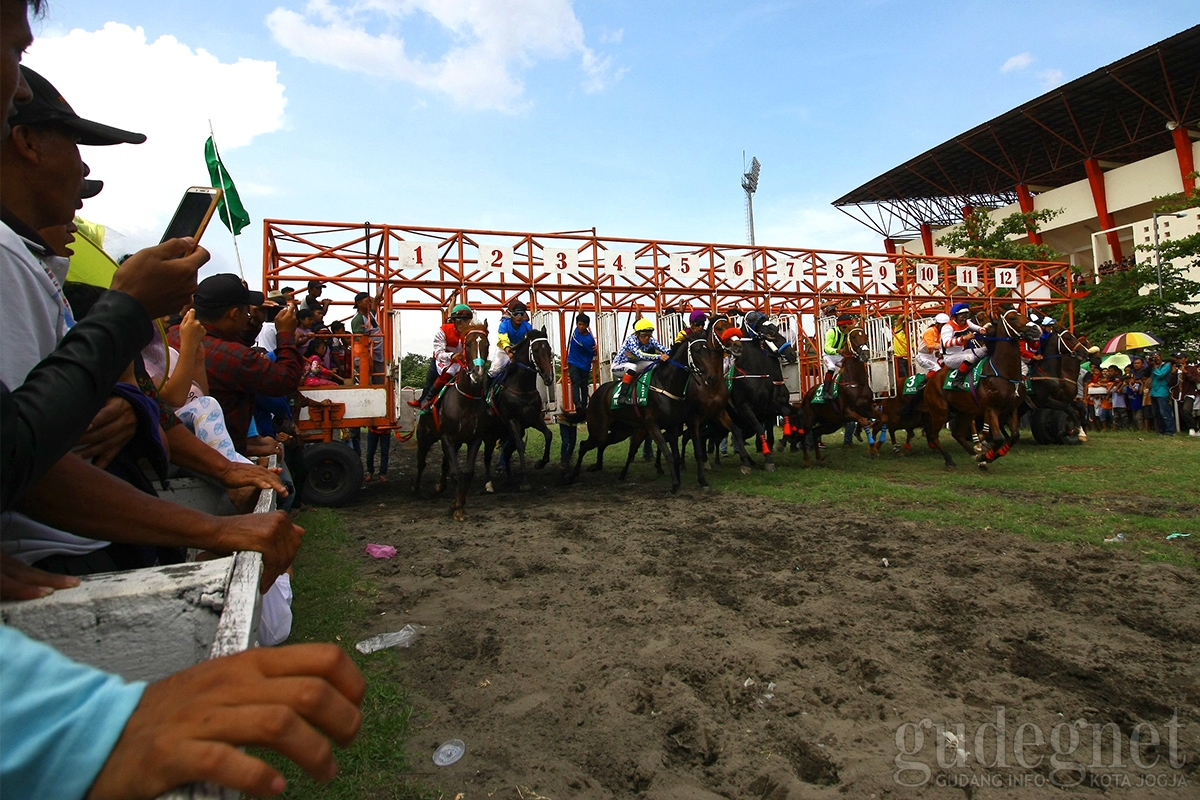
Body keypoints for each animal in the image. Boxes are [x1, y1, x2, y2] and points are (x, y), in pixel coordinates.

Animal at [412, 321, 487, 522]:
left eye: (487, 344)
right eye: (467, 344)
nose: (478, 374)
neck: (466, 400)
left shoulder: (474, 439)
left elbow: (468, 473)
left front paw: (459, 503)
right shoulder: (447, 437)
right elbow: (456, 473)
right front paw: (458, 508)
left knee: (445, 462)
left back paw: (440, 486)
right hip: (425, 436)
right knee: (421, 462)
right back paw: (416, 488)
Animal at [482, 326, 556, 491]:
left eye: (549, 349)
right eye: (535, 350)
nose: (548, 377)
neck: (523, 389)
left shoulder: (535, 419)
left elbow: (548, 435)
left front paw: (540, 463)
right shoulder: (512, 421)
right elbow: (521, 446)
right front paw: (525, 481)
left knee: (507, 452)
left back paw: (509, 479)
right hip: (490, 434)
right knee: (487, 456)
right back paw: (488, 483)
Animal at [801, 321, 878, 465]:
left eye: (865, 335)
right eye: (853, 336)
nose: (865, 354)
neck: (855, 382)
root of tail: (807, 393)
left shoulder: (867, 408)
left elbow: (877, 418)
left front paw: (864, 439)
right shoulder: (847, 411)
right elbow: (864, 421)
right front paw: (872, 447)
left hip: (831, 423)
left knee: (815, 432)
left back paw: (819, 457)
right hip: (809, 419)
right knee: (804, 434)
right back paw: (807, 461)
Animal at [916, 307, 1041, 470]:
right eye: (1013, 318)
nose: (1036, 329)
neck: (1003, 373)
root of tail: (931, 380)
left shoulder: (1011, 409)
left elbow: (1014, 436)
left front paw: (985, 456)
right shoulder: (991, 409)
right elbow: (999, 438)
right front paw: (987, 455)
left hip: (965, 411)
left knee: (958, 434)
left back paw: (976, 456)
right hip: (940, 412)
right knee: (933, 435)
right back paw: (950, 459)